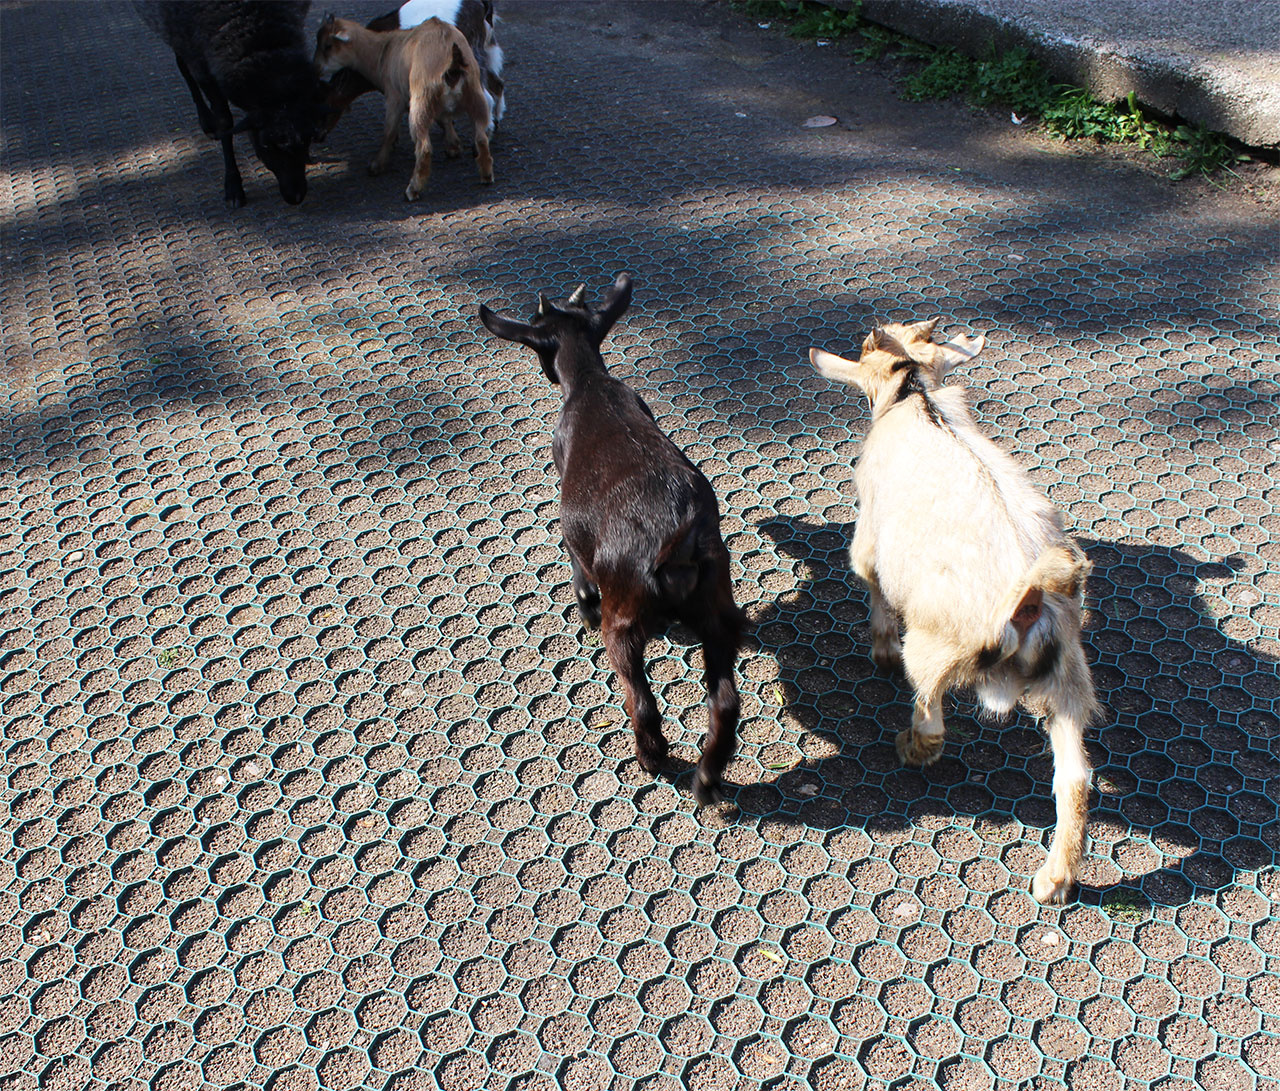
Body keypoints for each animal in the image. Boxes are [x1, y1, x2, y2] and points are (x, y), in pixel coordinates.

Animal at [133, 0, 322, 208]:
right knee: (182, 65)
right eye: (266, 146)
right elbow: (225, 122)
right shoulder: (199, 60)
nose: (295, 197)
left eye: (309, 138)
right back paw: (207, 121)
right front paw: (233, 186)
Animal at [313, 14, 493, 201]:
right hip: (475, 95)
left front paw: (376, 165)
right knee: (481, 137)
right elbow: (445, 120)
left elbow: (389, 131)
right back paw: (486, 175)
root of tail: (453, 61)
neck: (382, 51)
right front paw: (453, 147)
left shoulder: (394, 97)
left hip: (421, 102)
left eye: (327, 45)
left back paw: (413, 189)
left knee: (424, 148)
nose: (315, 68)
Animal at [318, 0, 505, 139]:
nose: (318, 135)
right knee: (498, 84)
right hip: (484, 53)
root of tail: (482, 6)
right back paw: (496, 120)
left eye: (327, 105)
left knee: (486, 97)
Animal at [479, 276, 746, 805]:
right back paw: (707, 777)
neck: (590, 383)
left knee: (641, 702)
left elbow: (577, 568)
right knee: (725, 700)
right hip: (715, 611)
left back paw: (652, 758)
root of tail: (676, 542)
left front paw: (583, 604)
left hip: (622, 624)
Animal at [811, 319, 1098, 904]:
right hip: (1068, 681)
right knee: (1074, 776)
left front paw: (877, 646)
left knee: (933, 722)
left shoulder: (868, 539)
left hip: (931, 648)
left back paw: (907, 745)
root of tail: (1029, 603)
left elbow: (871, 581)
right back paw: (1055, 878)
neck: (914, 396)